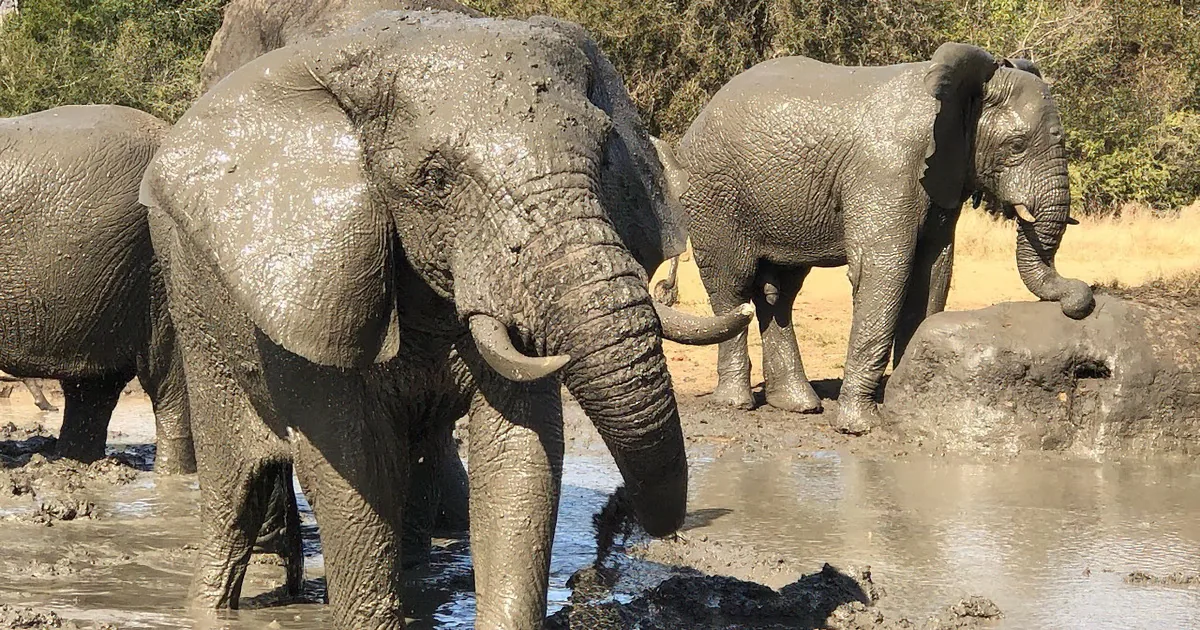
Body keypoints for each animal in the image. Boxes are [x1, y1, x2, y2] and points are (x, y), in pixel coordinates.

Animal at [140, 10, 751, 629]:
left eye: (606, 155)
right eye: (435, 179)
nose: (620, 519)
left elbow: (519, 457)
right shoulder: (318, 287)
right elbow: (353, 468)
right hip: (189, 297)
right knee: (232, 479)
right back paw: (209, 608)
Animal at [657, 43, 1094, 434]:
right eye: (1016, 146)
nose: (1080, 300)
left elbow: (933, 272)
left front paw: (909, 400)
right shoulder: (888, 167)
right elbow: (884, 272)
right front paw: (860, 427)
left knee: (778, 292)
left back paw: (798, 405)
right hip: (712, 194)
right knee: (732, 285)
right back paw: (737, 403)